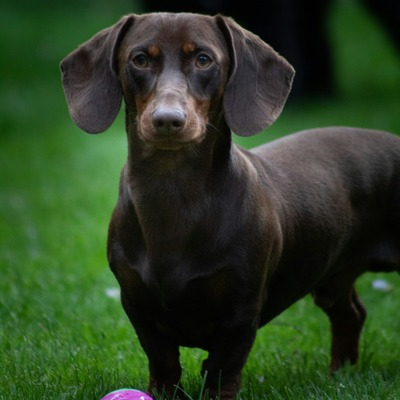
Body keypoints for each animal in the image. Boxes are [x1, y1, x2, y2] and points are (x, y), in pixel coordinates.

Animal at [60, 12, 400, 400]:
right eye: (140, 59)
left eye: (204, 59)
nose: (167, 120)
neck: (174, 196)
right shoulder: (137, 305)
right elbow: (163, 362)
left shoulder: (241, 311)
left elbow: (223, 370)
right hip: (332, 279)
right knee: (349, 315)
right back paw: (340, 377)